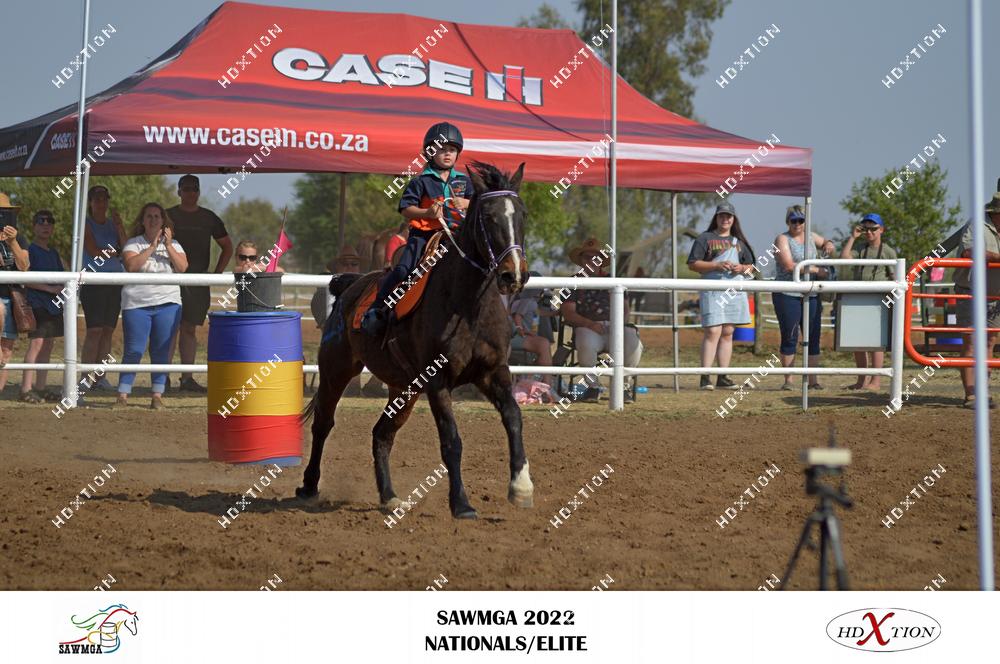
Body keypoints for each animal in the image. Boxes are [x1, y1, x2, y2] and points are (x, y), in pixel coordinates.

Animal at [296, 161, 534, 519]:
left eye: (521, 215)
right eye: (489, 217)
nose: (513, 274)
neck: (468, 305)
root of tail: (349, 284)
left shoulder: (494, 373)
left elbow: (514, 420)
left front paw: (521, 488)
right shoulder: (438, 382)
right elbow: (452, 441)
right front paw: (461, 504)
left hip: (403, 389)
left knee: (382, 434)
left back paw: (389, 496)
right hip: (335, 371)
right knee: (323, 423)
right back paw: (309, 487)